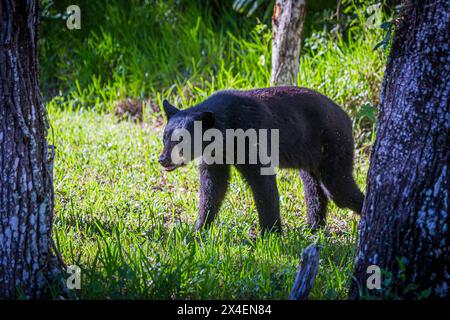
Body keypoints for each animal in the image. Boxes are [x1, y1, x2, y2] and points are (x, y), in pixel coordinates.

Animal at [160, 86, 364, 234]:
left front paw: (270, 233)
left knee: (338, 188)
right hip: (310, 158)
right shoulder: (215, 154)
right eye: (165, 138)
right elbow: (213, 187)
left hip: (333, 146)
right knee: (314, 190)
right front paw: (199, 229)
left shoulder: (250, 137)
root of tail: (347, 117)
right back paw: (313, 227)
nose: (163, 159)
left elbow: (262, 184)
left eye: (181, 140)